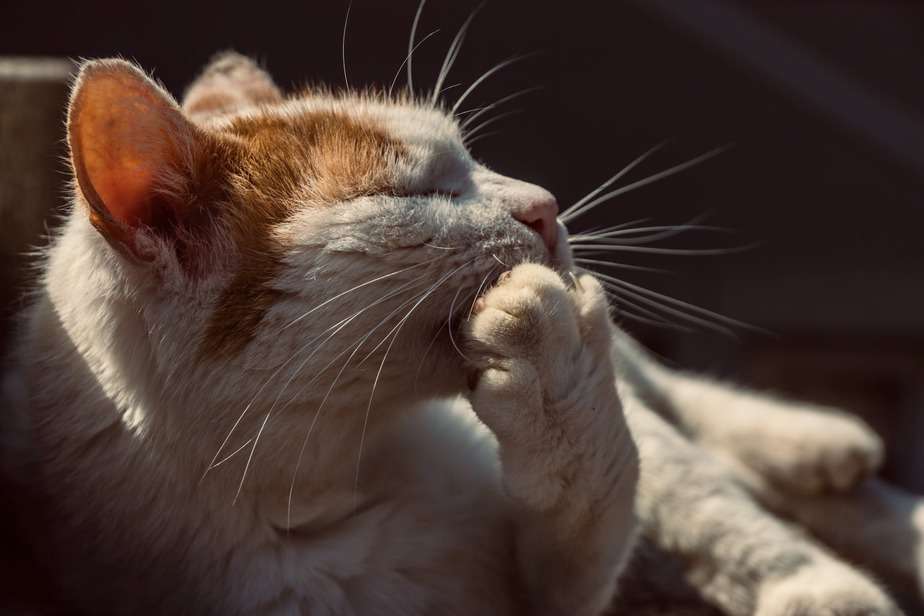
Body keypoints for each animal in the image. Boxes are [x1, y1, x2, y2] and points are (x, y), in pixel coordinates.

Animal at [1, 50, 916, 612]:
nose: (547, 204)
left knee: (687, 429)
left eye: (474, 165)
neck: (323, 488)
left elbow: (635, 490)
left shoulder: (569, 565)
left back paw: (818, 452)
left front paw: (556, 382)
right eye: (418, 192)